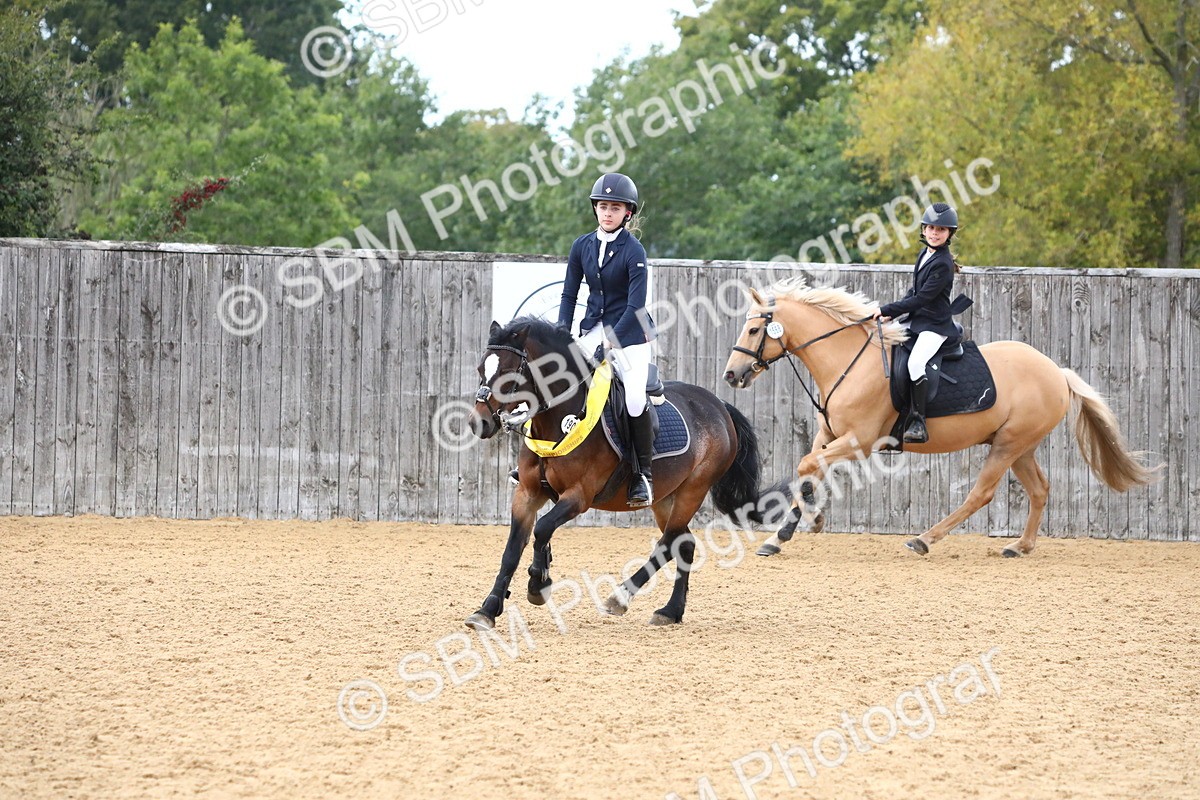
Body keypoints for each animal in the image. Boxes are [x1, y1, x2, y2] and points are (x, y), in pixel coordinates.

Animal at [466, 316, 766, 629]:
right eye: (481, 369)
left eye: (507, 372)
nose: (479, 423)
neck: (558, 420)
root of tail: (719, 405)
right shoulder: (527, 494)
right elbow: (513, 549)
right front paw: (487, 610)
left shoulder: (579, 496)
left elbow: (543, 528)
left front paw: (538, 585)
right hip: (664, 497)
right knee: (683, 542)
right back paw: (671, 611)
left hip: (693, 489)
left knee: (669, 541)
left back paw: (621, 597)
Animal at [722, 277, 1159, 557]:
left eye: (754, 330)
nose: (731, 375)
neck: (849, 361)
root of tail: (1056, 371)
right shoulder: (828, 436)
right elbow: (807, 468)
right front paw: (784, 533)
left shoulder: (859, 441)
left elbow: (806, 466)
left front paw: (809, 520)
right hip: (1021, 446)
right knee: (1039, 490)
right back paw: (1020, 546)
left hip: (1009, 445)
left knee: (980, 493)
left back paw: (925, 540)